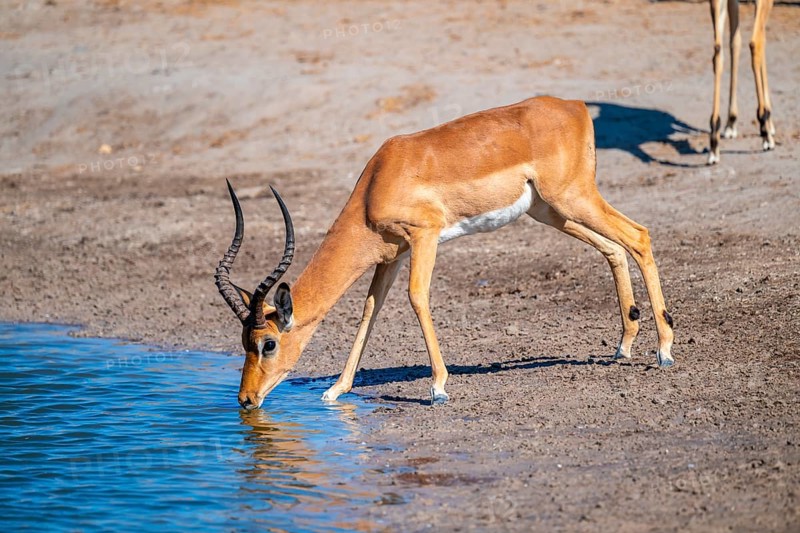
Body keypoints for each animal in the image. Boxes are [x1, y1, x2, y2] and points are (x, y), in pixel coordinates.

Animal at [215, 96, 675, 410]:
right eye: (242, 343)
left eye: (267, 344)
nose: (246, 400)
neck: (378, 181)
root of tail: (575, 106)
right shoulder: (392, 255)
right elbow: (370, 310)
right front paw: (336, 389)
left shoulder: (425, 236)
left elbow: (417, 297)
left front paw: (438, 387)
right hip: (552, 212)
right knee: (615, 248)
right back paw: (623, 346)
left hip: (573, 199)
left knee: (639, 236)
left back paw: (664, 351)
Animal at [708, 0, 776, 165]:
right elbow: (761, 41)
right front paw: (768, 122)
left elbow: (735, 42)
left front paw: (731, 123)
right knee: (755, 43)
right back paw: (766, 134)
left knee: (718, 52)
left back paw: (714, 143)